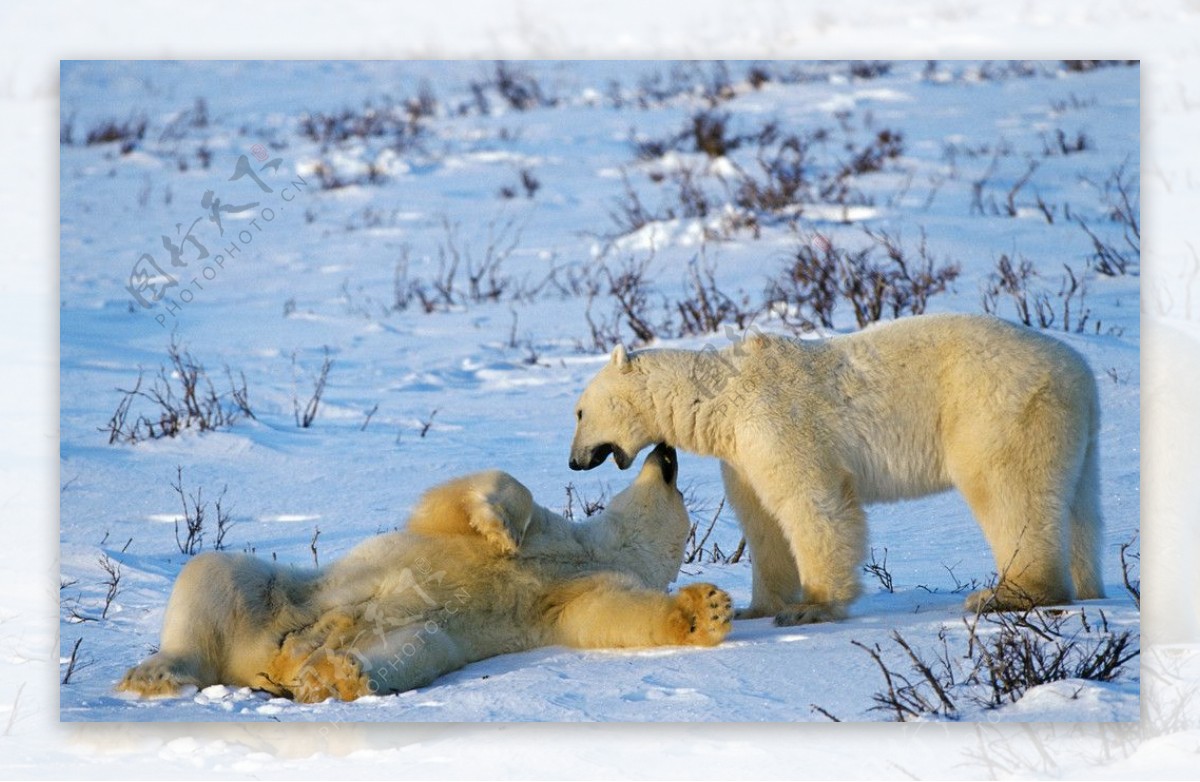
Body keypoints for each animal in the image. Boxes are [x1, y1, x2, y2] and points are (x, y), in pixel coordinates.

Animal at [119, 443, 729, 705]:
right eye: (673, 475)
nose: (667, 450)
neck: (587, 551)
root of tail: (260, 661)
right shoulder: (548, 535)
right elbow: (476, 495)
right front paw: (500, 530)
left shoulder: (572, 595)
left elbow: (611, 616)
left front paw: (708, 611)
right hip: (284, 593)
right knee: (212, 571)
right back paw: (153, 673)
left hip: (413, 638)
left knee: (405, 651)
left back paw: (329, 676)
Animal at [566, 314, 1099, 628]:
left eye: (578, 412)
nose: (573, 460)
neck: (720, 395)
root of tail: (1081, 370)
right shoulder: (742, 452)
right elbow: (761, 519)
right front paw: (757, 607)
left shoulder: (777, 420)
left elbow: (810, 501)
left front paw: (813, 606)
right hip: (1067, 430)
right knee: (1078, 506)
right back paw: (1088, 585)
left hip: (995, 409)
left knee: (1008, 489)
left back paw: (1007, 594)